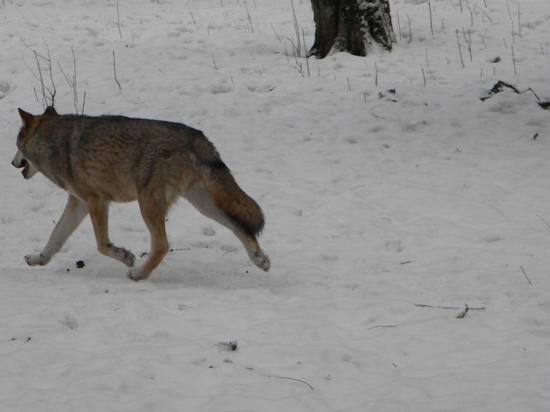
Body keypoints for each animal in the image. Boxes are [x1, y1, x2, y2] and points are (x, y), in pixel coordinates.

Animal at [11, 107, 272, 280]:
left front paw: (126, 257)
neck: (55, 143)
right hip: (204, 205)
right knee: (241, 228)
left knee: (162, 245)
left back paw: (138, 274)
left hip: (147, 204)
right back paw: (260, 260)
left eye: (15, 146)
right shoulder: (78, 204)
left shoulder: (97, 202)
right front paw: (37, 259)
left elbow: (102, 244)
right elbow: (55, 238)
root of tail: (196, 137)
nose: (12, 163)